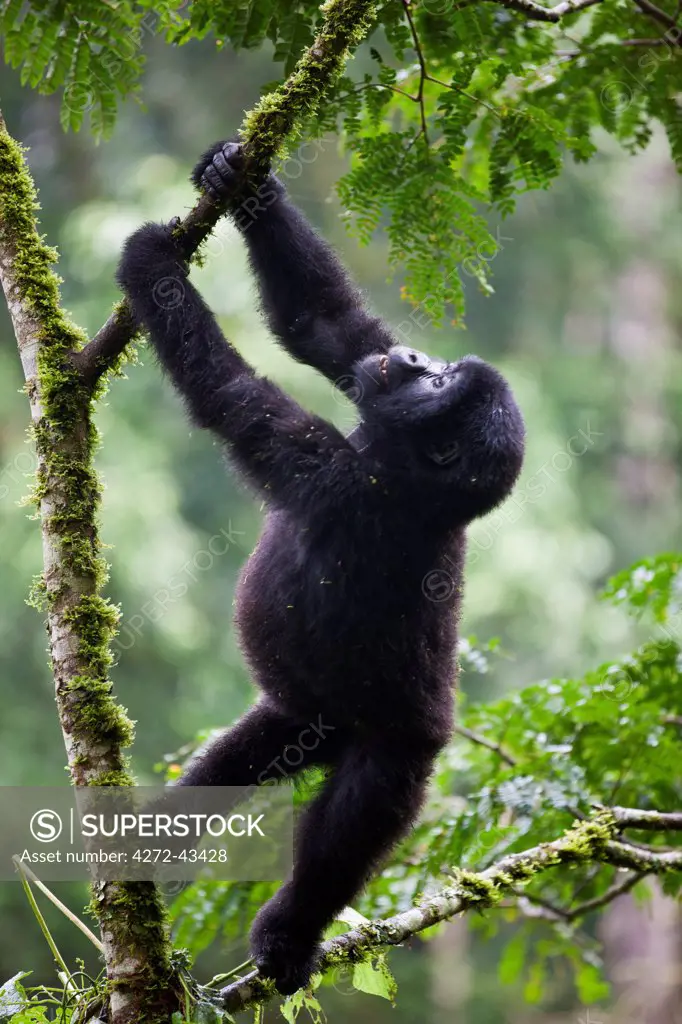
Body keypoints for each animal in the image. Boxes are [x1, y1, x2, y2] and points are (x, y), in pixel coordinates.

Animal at [116, 140, 522, 995]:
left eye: (442, 383)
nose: (418, 355)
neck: (403, 472)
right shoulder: (364, 396)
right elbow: (326, 326)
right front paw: (239, 177)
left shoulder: (329, 473)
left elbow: (229, 394)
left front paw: (151, 266)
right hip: (312, 718)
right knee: (243, 757)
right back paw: (151, 857)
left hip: (397, 748)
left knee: (353, 825)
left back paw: (291, 931)